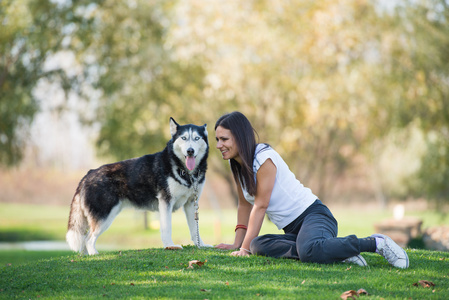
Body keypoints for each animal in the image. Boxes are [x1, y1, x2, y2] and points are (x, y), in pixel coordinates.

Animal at [65, 118, 209, 254]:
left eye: (196, 138)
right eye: (184, 138)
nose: (190, 151)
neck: (185, 171)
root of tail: (88, 173)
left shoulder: (191, 203)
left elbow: (195, 229)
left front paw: (201, 245)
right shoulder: (166, 201)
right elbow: (167, 227)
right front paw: (170, 246)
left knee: (84, 240)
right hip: (104, 216)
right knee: (88, 239)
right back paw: (94, 254)